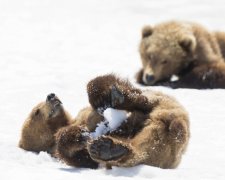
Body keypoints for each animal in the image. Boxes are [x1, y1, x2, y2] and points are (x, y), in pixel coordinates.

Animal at [18, 74, 190, 169]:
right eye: (36, 111)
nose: (51, 96)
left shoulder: (82, 113)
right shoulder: (58, 151)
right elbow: (80, 157)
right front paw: (80, 135)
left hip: (164, 104)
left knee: (143, 99)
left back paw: (117, 97)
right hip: (157, 150)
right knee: (138, 152)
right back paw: (107, 148)